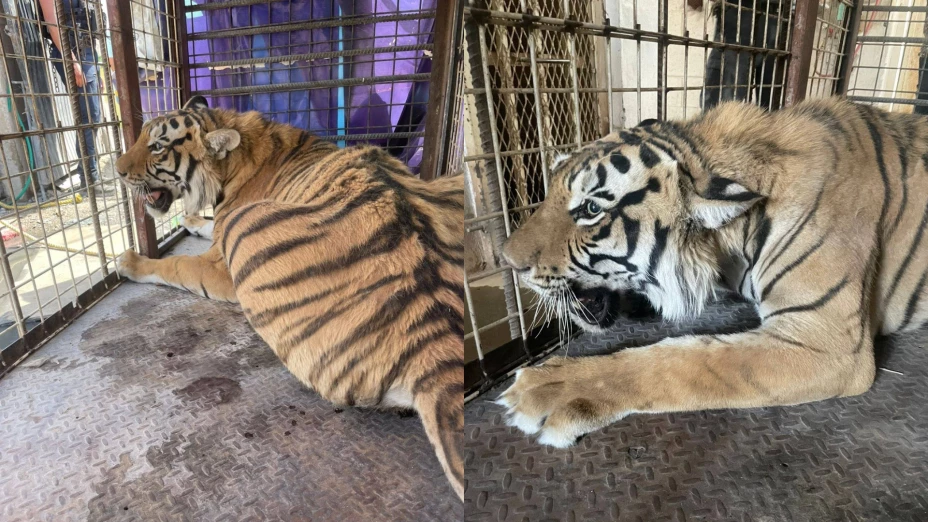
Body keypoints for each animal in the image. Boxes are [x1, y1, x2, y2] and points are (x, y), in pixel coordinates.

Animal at [114, 96, 465, 500]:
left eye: (157, 146)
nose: (116, 171)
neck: (233, 161)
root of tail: (434, 339)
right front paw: (191, 220)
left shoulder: (220, 266)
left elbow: (176, 265)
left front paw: (129, 261)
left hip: (246, 232)